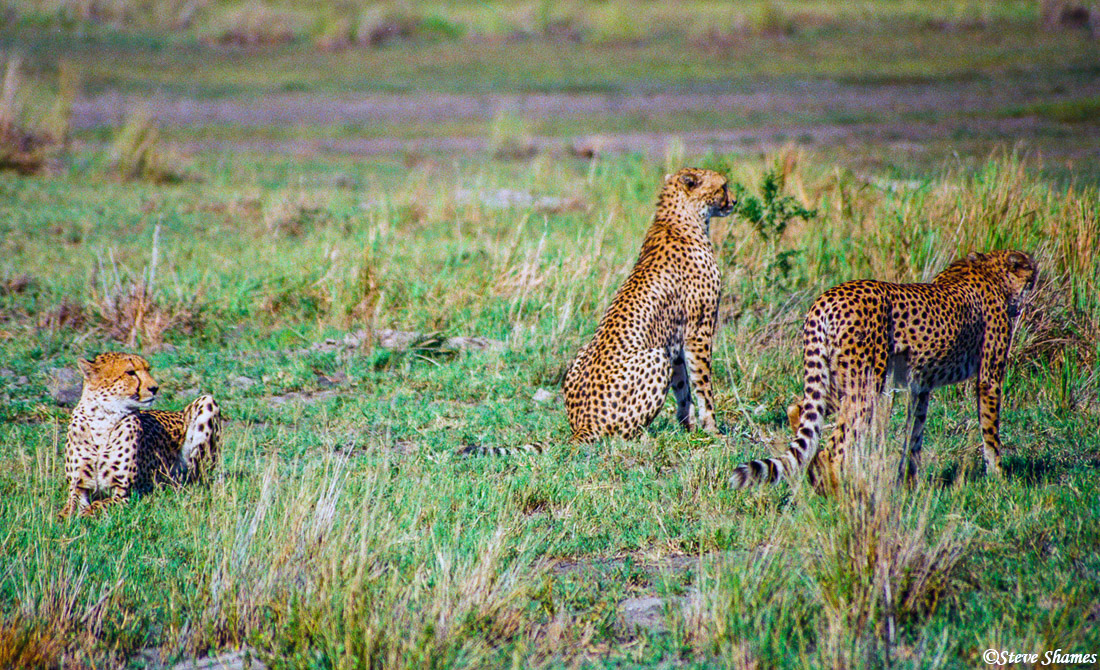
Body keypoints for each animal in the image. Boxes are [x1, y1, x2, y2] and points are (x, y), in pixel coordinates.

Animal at [61, 349, 224, 517]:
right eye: (130, 372)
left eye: (148, 369)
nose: (155, 388)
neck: (102, 419)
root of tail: (178, 412)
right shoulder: (78, 487)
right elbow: (69, 507)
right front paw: (66, 516)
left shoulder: (124, 492)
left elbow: (99, 505)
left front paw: (86, 513)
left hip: (207, 401)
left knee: (198, 479)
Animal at [563, 166, 734, 444]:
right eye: (723, 186)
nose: (734, 202)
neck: (681, 218)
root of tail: (582, 425)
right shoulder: (698, 332)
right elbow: (703, 385)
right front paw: (712, 429)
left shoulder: (674, 339)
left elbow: (683, 389)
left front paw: (688, 428)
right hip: (655, 356)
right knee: (621, 436)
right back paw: (646, 439)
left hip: (586, 352)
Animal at [730, 248, 1038, 488]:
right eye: (1031, 273)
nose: (1036, 277)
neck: (989, 270)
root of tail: (826, 298)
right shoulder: (989, 377)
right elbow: (990, 431)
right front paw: (999, 479)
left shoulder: (920, 385)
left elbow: (915, 433)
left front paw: (908, 482)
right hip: (866, 384)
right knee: (832, 449)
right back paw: (837, 500)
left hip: (837, 378)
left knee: (800, 411)